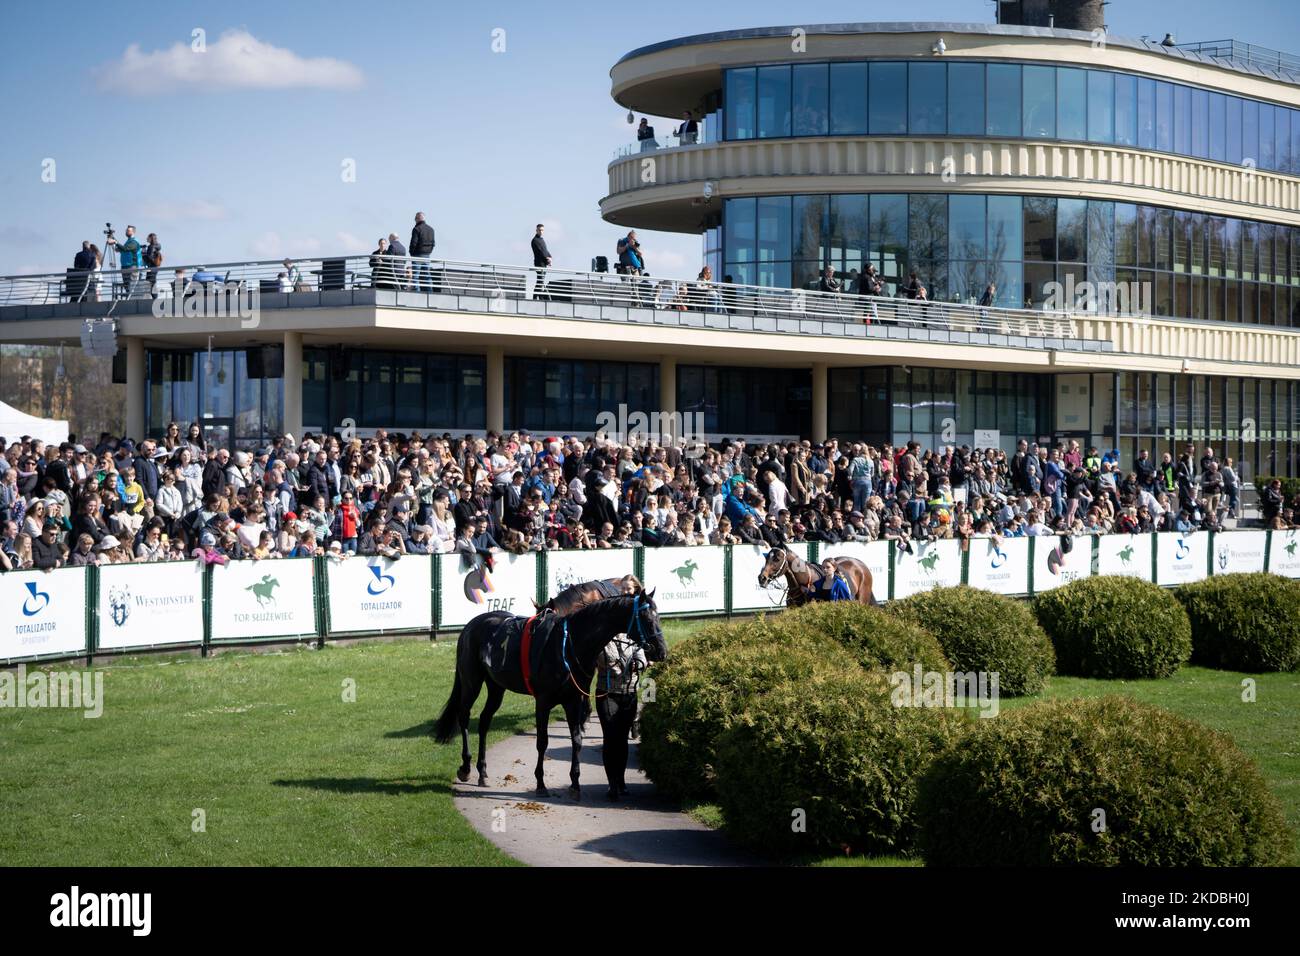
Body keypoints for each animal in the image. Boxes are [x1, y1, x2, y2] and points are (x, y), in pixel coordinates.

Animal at [434, 590, 665, 801]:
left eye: (659, 617)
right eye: (646, 619)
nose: (661, 651)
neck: (567, 646)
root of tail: (471, 625)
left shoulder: (573, 701)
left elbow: (577, 740)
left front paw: (575, 784)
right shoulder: (543, 702)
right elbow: (542, 742)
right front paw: (540, 784)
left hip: (496, 686)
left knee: (484, 721)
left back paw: (482, 772)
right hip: (471, 681)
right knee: (464, 716)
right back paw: (465, 767)